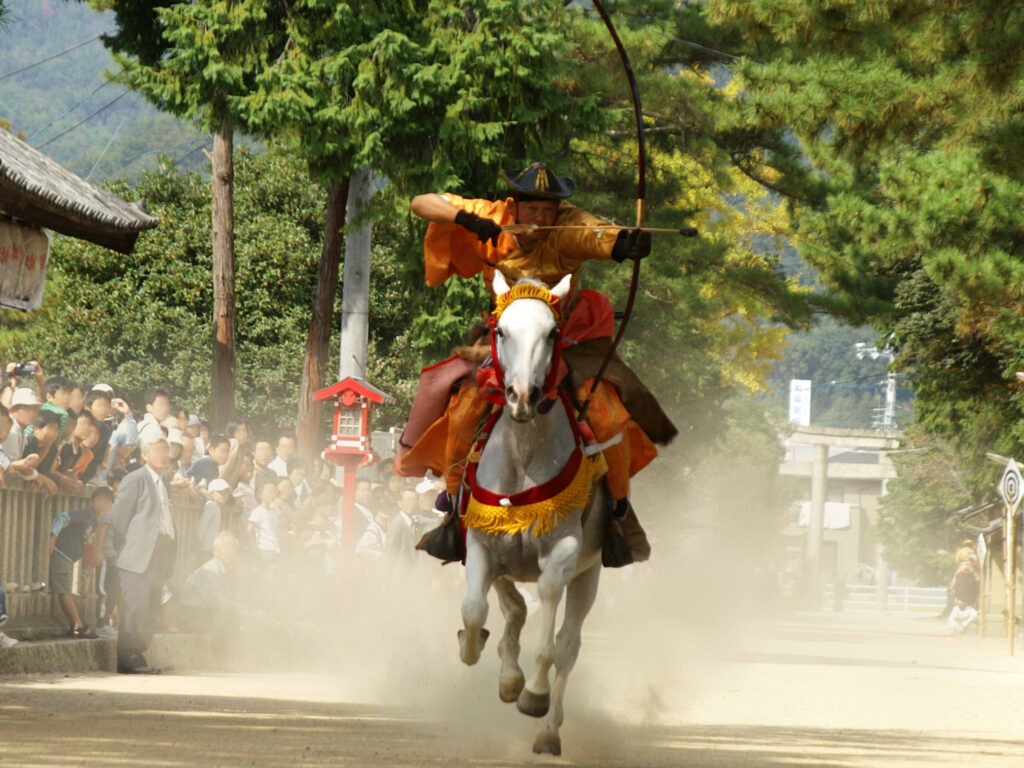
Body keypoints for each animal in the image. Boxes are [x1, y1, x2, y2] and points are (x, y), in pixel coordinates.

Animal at [458, 272, 606, 757]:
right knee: (515, 610)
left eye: (553, 332)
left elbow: (549, 632)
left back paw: (548, 730)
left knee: (568, 645)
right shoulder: (483, 542)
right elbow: (476, 609)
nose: (523, 396)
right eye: (501, 330)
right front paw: (477, 652)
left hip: (591, 573)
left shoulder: (564, 552)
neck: (522, 457)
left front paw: (533, 693)